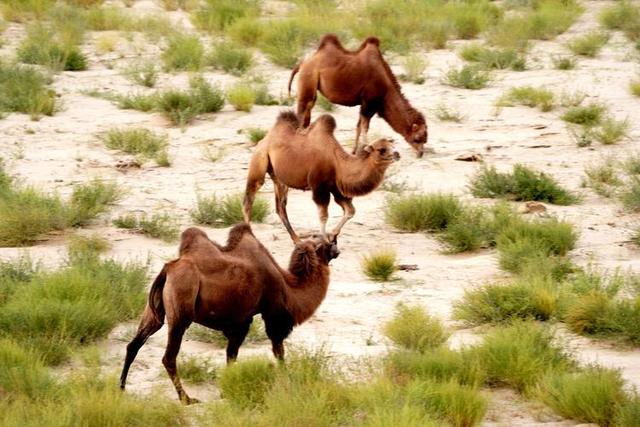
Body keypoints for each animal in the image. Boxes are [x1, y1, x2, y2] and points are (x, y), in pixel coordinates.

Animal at [119, 226, 340, 406]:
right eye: (328, 243)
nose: (338, 250)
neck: (288, 285)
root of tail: (167, 269)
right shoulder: (269, 315)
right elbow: (278, 351)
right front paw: (288, 382)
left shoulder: (239, 322)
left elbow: (231, 356)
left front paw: (227, 390)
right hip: (181, 311)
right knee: (169, 357)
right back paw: (186, 399)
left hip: (154, 311)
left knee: (133, 345)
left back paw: (121, 389)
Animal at [242, 110, 398, 244]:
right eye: (381, 149)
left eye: (391, 145)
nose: (397, 154)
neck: (338, 163)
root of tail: (264, 139)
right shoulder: (319, 187)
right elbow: (323, 215)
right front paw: (324, 241)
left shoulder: (336, 188)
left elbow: (350, 211)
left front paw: (332, 235)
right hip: (259, 160)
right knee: (249, 199)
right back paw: (249, 234)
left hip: (279, 178)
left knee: (280, 207)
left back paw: (297, 240)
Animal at [290, 34, 430, 159]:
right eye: (417, 138)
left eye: (425, 139)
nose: (420, 153)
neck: (385, 89)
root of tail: (302, 64)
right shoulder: (369, 103)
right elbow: (364, 127)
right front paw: (365, 150)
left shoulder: (364, 104)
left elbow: (358, 126)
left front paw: (354, 151)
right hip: (308, 80)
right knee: (302, 114)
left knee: (307, 114)